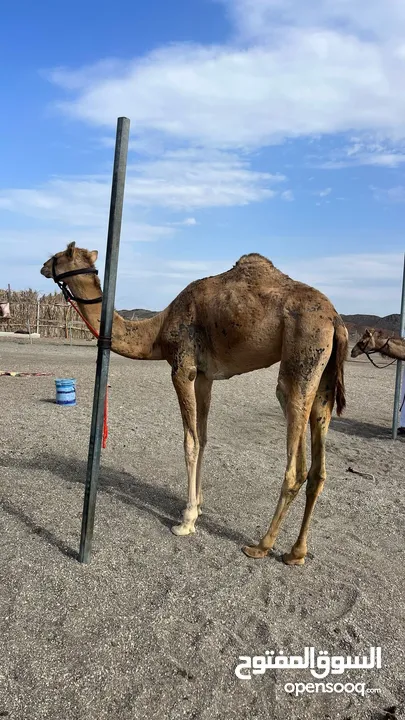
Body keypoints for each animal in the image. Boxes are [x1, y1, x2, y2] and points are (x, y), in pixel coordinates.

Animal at [41, 245, 348, 564]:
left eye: (60, 255)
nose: (43, 266)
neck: (157, 332)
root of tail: (336, 321)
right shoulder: (203, 376)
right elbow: (203, 437)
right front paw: (197, 507)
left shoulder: (182, 367)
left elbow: (189, 441)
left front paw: (186, 520)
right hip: (323, 379)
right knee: (318, 467)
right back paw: (297, 552)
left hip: (300, 361)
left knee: (295, 466)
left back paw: (262, 545)